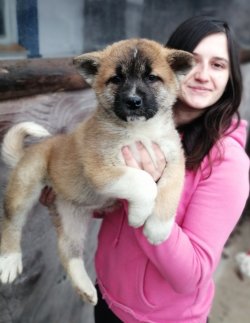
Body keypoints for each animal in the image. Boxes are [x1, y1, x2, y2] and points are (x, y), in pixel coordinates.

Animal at [0, 38, 193, 306]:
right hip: (26, 185)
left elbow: (169, 192)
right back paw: (10, 260)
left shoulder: (174, 159)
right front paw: (138, 216)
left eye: (152, 77)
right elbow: (144, 181)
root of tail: (27, 154)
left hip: (71, 217)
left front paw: (157, 229)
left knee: (67, 249)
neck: (140, 131)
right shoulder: (100, 167)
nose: (133, 101)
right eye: (116, 79)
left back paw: (84, 287)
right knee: (11, 221)